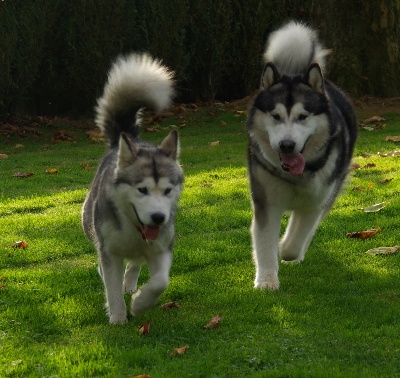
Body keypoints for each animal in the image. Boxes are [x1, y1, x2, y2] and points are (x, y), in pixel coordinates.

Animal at [82, 54, 184, 324]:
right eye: (142, 190)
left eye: (167, 191)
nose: (158, 218)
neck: (134, 228)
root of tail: (129, 138)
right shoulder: (109, 253)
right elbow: (112, 287)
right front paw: (118, 318)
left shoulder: (161, 248)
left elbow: (160, 282)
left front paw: (139, 304)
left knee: (135, 264)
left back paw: (131, 284)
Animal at [247, 21, 356, 290]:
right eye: (275, 116)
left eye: (303, 116)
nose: (287, 145)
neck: (297, 175)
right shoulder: (266, 202)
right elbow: (264, 243)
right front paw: (266, 280)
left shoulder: (316, 201)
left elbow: (293, 244)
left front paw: (285, 249)